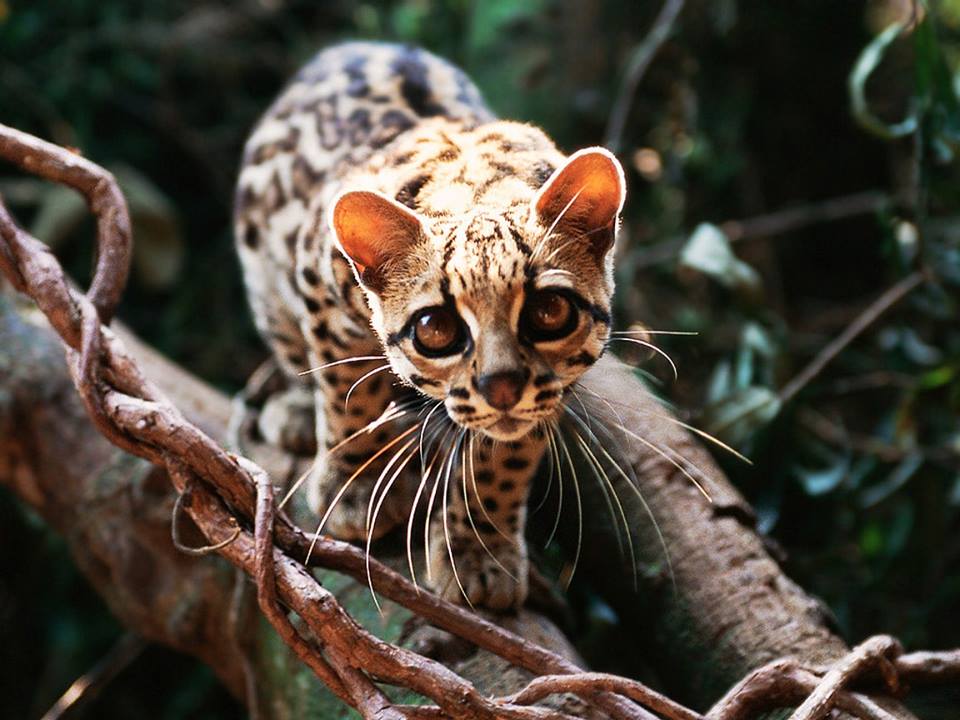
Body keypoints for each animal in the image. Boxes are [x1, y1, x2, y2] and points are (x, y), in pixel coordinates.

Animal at [234, 41, 625, 610]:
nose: (502, 387)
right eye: (435, 329)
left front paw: (481, 549)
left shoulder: (553, 384)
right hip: (264, 276)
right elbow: (348, 393)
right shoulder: (318, 288)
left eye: (550, 313)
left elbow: (506, 451)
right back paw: (297, 410)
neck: (477, 193)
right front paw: (356, 486)